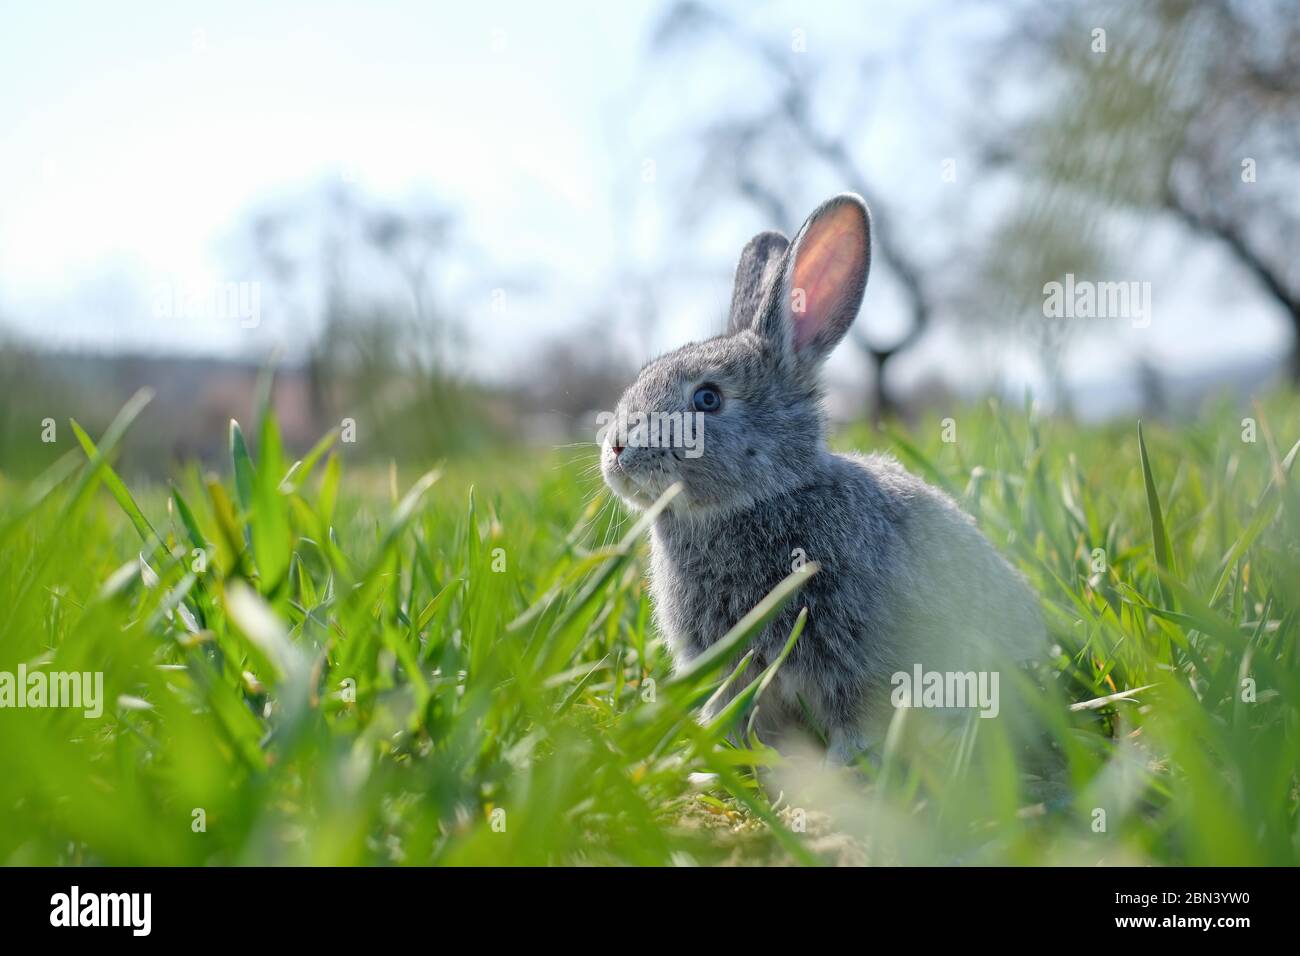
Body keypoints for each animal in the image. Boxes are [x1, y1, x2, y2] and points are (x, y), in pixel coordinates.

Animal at [600, 193, 1045, 764]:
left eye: (708, 398)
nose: (616, 449)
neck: (765, 496)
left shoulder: (855, 657)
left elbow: (853, 715)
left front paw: (843, 766)